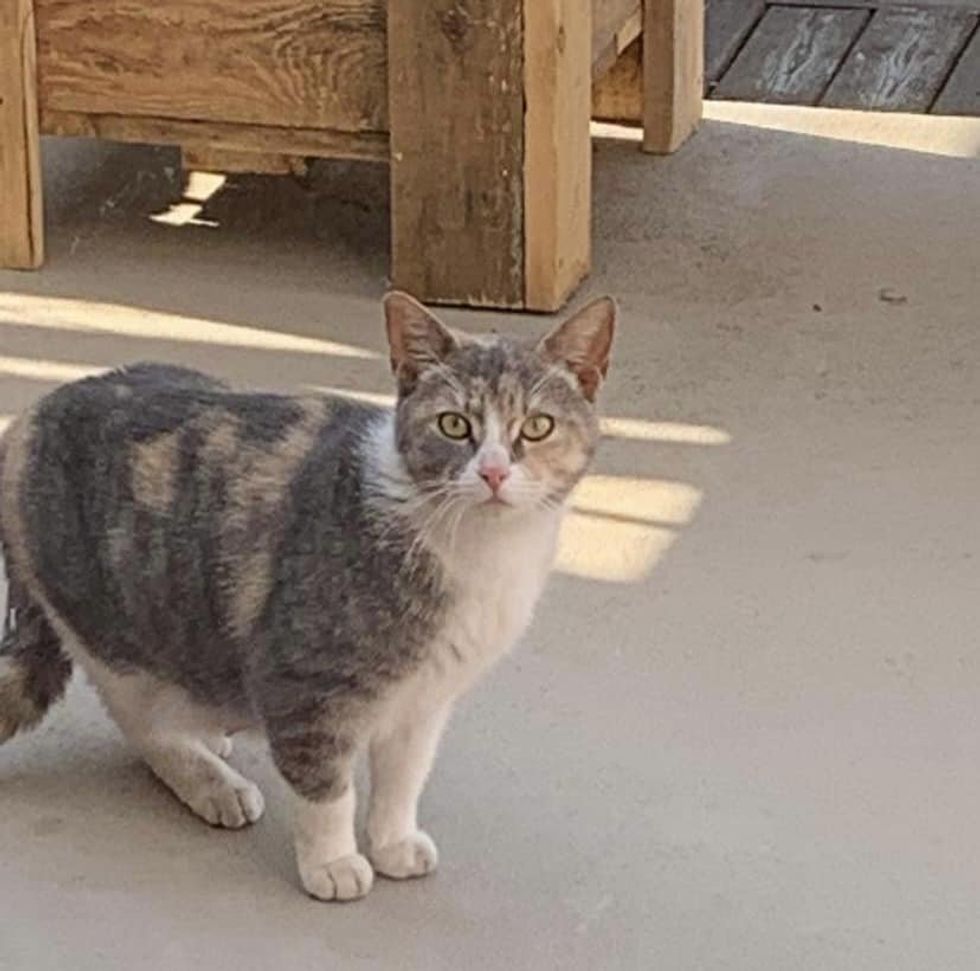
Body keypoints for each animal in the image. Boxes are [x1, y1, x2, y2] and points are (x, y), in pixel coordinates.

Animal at [0, 290, 612, 904]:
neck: (482, 557)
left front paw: (393, 842)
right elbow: (327, 787)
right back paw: (212, 783)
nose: (492, 473)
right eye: (454, 424)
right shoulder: (305, 683)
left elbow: (404, 776)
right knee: (141, 720)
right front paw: (334, 862)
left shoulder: (425, 697)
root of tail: (26, 420)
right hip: (118, 625)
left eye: (537, 426)